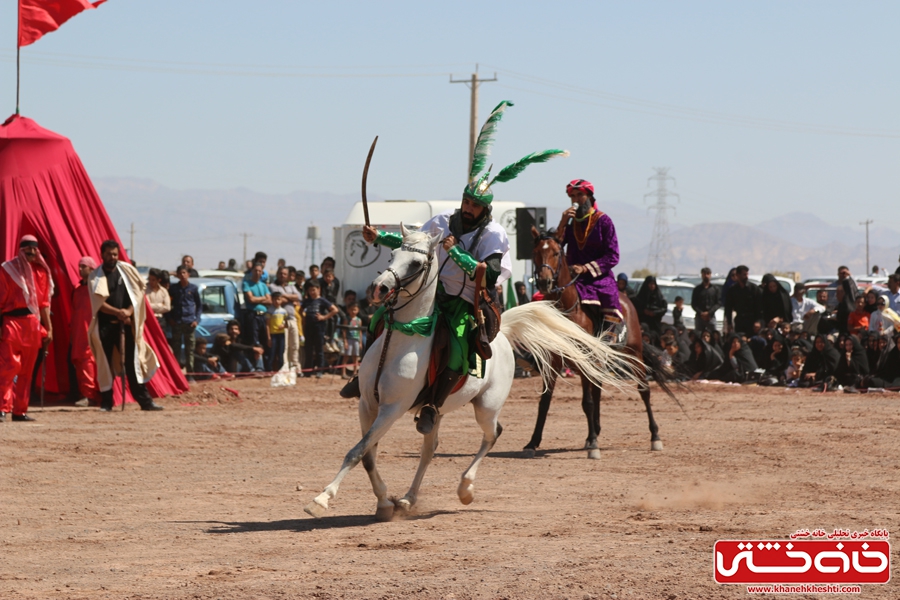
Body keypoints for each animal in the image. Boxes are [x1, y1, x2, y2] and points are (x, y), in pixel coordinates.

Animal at [304, 225, 640, 520]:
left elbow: (357, 452)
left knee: (493, 435)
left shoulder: (392, 409)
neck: (402, 338)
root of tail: (502, 333)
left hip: (486, 407)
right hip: (435, 410)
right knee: (429, 450)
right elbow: (368, 455)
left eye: (415, 262)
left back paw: (465, 488)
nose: (379, 288)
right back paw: (408, 498)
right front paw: (384, 502)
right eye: (392, 254)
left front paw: (321, 499)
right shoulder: (368, 405)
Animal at [524, 227, 664, 458]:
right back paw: (594, 432)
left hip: (634, 354)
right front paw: (533, 442)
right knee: (598, 389)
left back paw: (655, 437)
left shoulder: (583, 362)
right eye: (535, 252)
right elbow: (544, 401)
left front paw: (594, 446)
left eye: (556, 253)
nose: (545, 282)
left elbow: (587, 402)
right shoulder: (552, 362)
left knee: (644, 390)